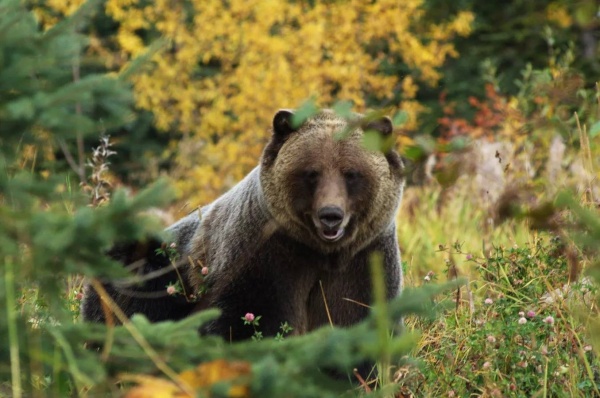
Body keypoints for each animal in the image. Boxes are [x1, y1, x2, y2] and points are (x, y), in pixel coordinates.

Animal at [79, 110, 406, 344]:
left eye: (351, 173)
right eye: (311, 173)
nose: (330, 215)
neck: (320, 252)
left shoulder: (363, 262)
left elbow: (356, 320)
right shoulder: (264, 257)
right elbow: (243, 323)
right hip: (149, 275)